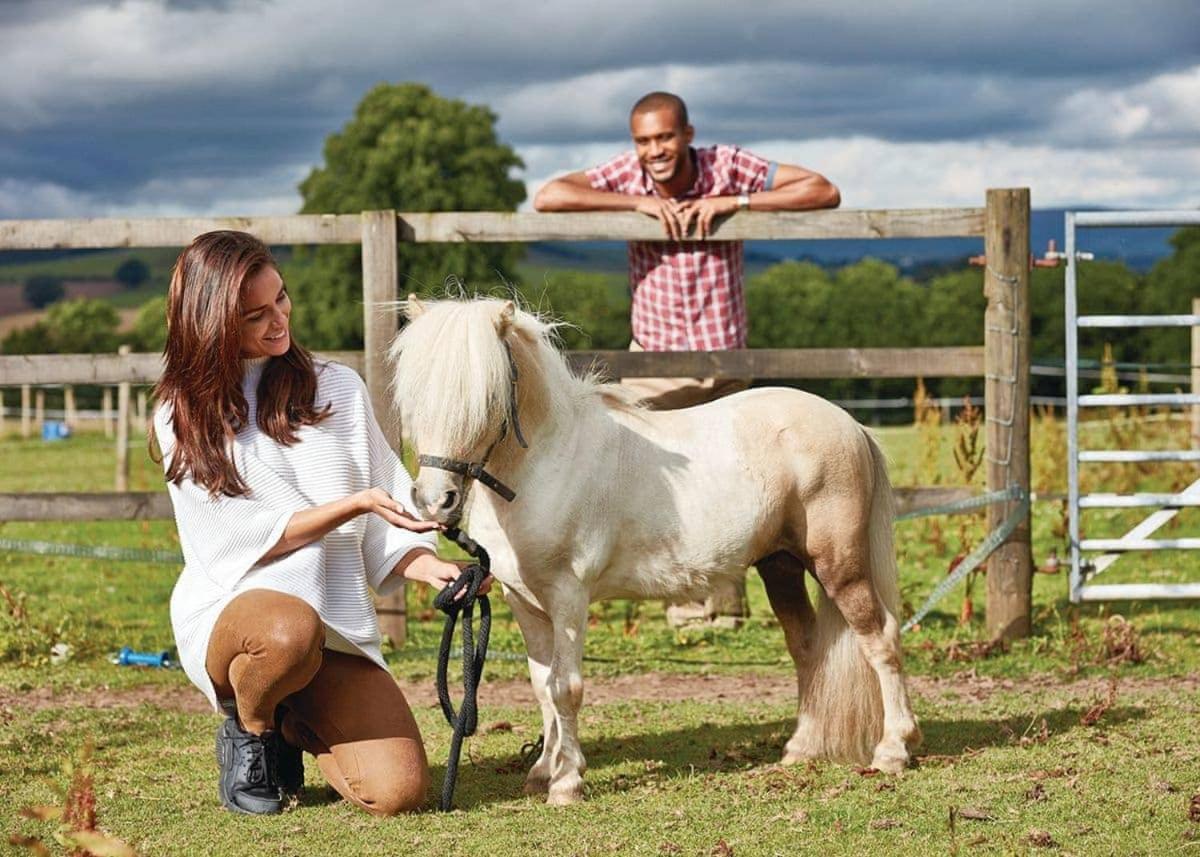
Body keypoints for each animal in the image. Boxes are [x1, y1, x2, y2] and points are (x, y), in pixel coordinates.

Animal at [388, 295, 921, 801]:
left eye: (486, 398)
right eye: (415, 397)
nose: (435, 501)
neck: (548, 462)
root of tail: (851, 426)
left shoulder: (568, 598)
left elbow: (566, 688)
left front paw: (567, 783)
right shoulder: (523, 600)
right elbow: (541, 687)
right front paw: (542, 772)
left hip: (839, 565)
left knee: (881, 639)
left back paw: (893, 750)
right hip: (780, 564)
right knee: (807, 646)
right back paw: (800, 749)